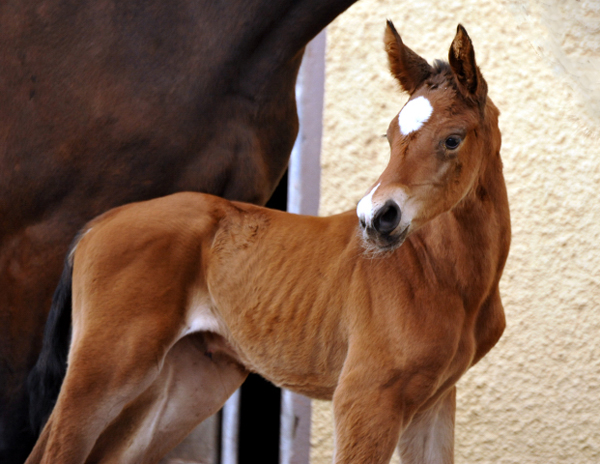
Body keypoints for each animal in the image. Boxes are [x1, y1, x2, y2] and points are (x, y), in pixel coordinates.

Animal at [25, 22, 508, 464]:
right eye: (390, 137)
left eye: (452, 139)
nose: (375, 218)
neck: (440, 274)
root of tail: (99, 223)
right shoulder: (366, 398)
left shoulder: (432, 403)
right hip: (106, 367)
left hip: (187, 383)